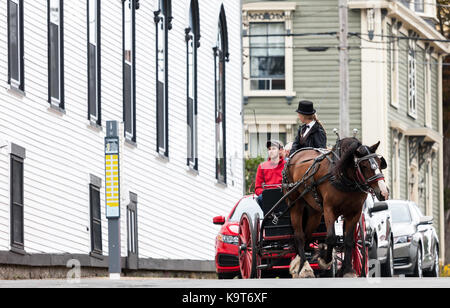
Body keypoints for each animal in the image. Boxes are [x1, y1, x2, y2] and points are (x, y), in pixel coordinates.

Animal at [286, 138, 388, 278]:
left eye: (379, 162)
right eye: (364, 166)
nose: (384, 192)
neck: (343, 177)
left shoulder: (354, 212)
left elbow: (349, 240)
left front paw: (347, 270)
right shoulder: (329, 209)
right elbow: (331, 238)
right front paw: (325, 260)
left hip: (315, 213)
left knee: (307, 235)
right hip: (295, 204)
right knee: (299, 236)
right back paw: (303, 267)